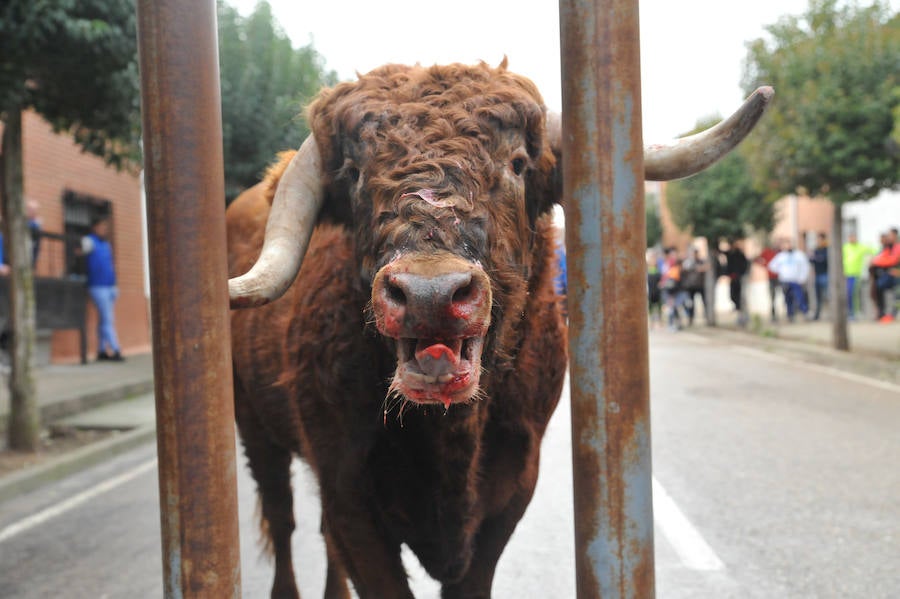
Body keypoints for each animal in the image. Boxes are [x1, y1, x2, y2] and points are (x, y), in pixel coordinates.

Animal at [227, 58, 772, 596]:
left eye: (517, 164)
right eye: (355, 173)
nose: (430, 294)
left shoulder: (507, 495)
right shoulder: (347, 493)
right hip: (255, 430)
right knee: (281, 517)